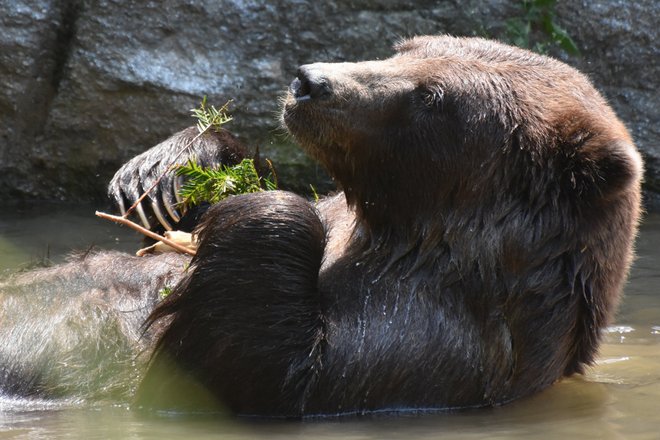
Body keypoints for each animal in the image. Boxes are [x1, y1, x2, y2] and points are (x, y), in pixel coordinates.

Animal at [135, 35, 644, 416]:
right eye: (403, 49)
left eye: (431, 96)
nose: (309, 81)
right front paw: (171, 171)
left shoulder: (415, 346)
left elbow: (258, 372)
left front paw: (267, 204)